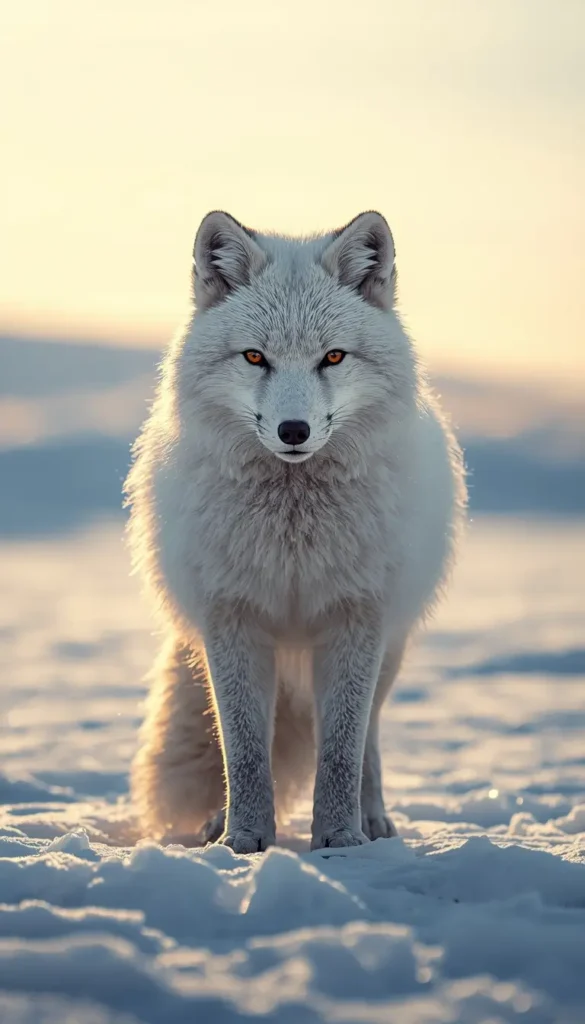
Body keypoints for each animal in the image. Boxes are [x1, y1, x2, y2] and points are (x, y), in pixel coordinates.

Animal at [125, 209, 466, 853]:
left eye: (332, 358)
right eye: (255, 358)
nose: (293, 430)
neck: (293, 539)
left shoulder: (356, 619)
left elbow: (340, 753)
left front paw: (339, 840)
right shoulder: (232, 621)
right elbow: (243, 753)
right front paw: (241, 840)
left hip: (387, 652)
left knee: (369, 740)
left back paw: (373, 821)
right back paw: (216, 823)